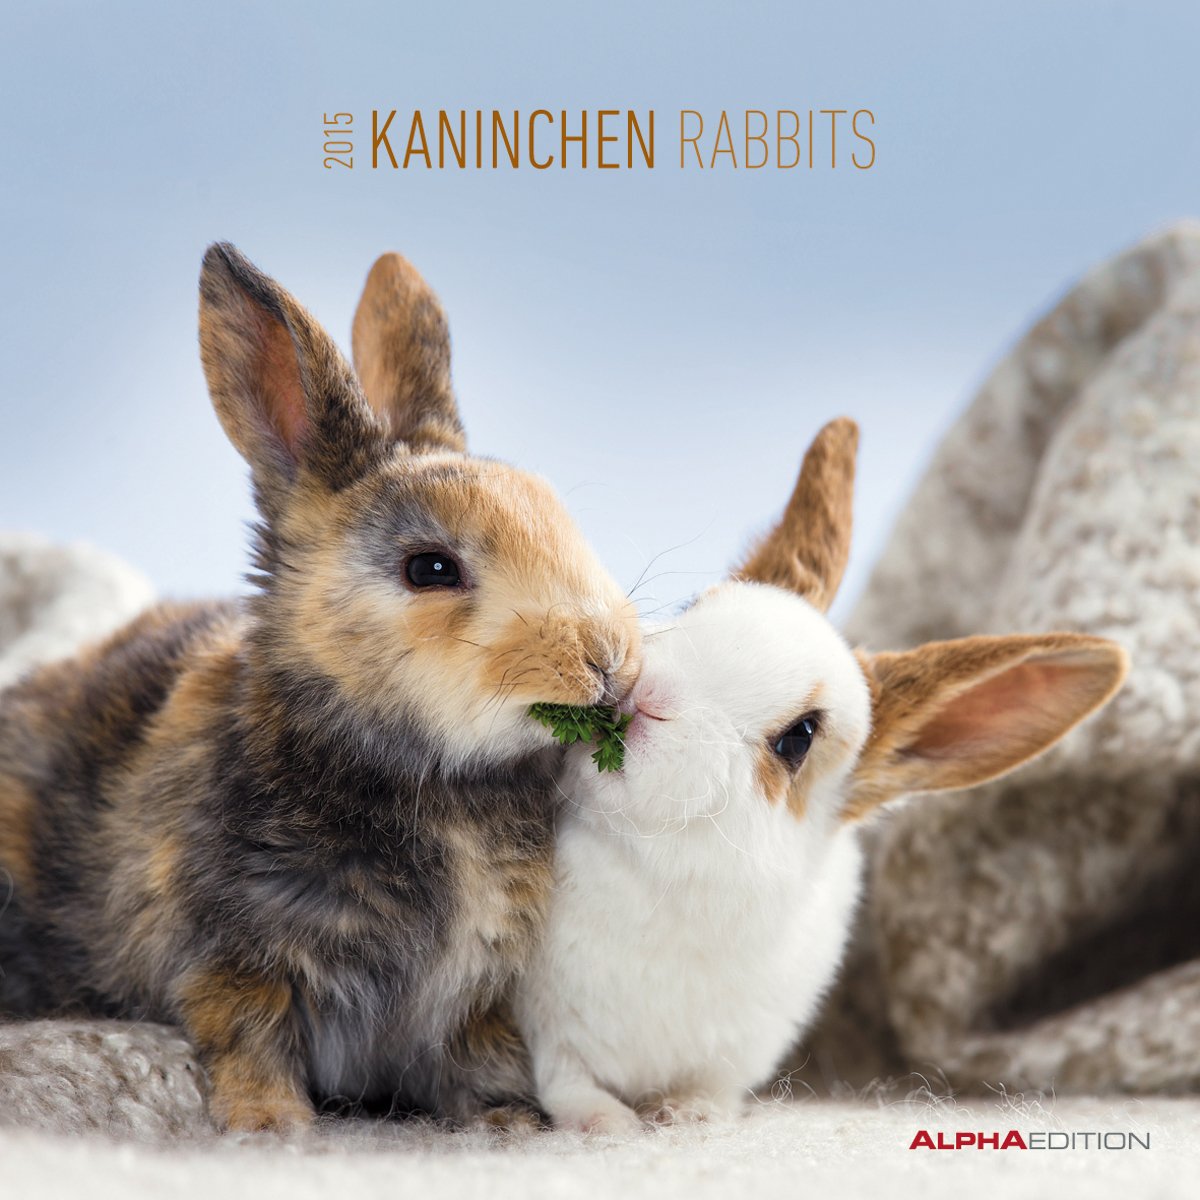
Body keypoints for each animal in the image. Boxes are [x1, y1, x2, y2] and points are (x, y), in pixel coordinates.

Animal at [0, 243, 641, 1132]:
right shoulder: (236, 955)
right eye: (430, 568)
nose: (608, 657)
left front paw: (510, 1122)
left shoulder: (474, 995)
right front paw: (274, 1126)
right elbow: (250, 1038)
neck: (431, 780)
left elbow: (482, 1058)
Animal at [512, 418, 1128, 1134]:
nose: (647, 697)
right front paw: (610, 1125)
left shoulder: (729, 1055)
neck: (659, 872)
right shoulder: (547, 1032)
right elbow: (568, 1084)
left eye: (798, 738)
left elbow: (703, 1093)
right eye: (695, 603)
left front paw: (685, 1118)